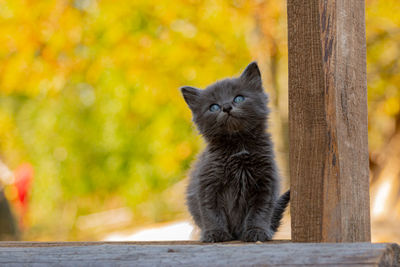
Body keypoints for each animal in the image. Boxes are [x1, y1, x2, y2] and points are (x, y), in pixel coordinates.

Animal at [181, 62, 290, 243]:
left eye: (238, 98)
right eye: (213, 107)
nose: (226, 107)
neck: (239, 148)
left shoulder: (266, 183)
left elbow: (259, 212)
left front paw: (256, 232)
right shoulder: (207, 183)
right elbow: (211, 212)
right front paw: (215, 233)